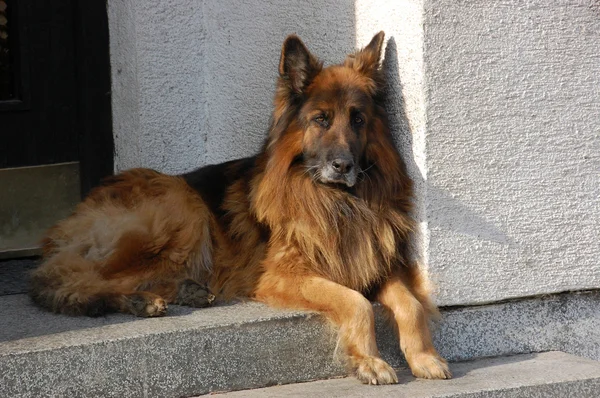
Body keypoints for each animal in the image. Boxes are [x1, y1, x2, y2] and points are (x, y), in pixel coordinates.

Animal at [29, 32, 450, 384]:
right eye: (321, 119)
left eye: (358, 119)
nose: (343, 166)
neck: (338, 202)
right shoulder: (283, 276)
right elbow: (357, 303)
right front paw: (370, 362)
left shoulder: (375, 264)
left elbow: (411, 305)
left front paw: (424, 357)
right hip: (181, 205)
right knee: (71, 280)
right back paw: (138, 300)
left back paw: (183, 291)